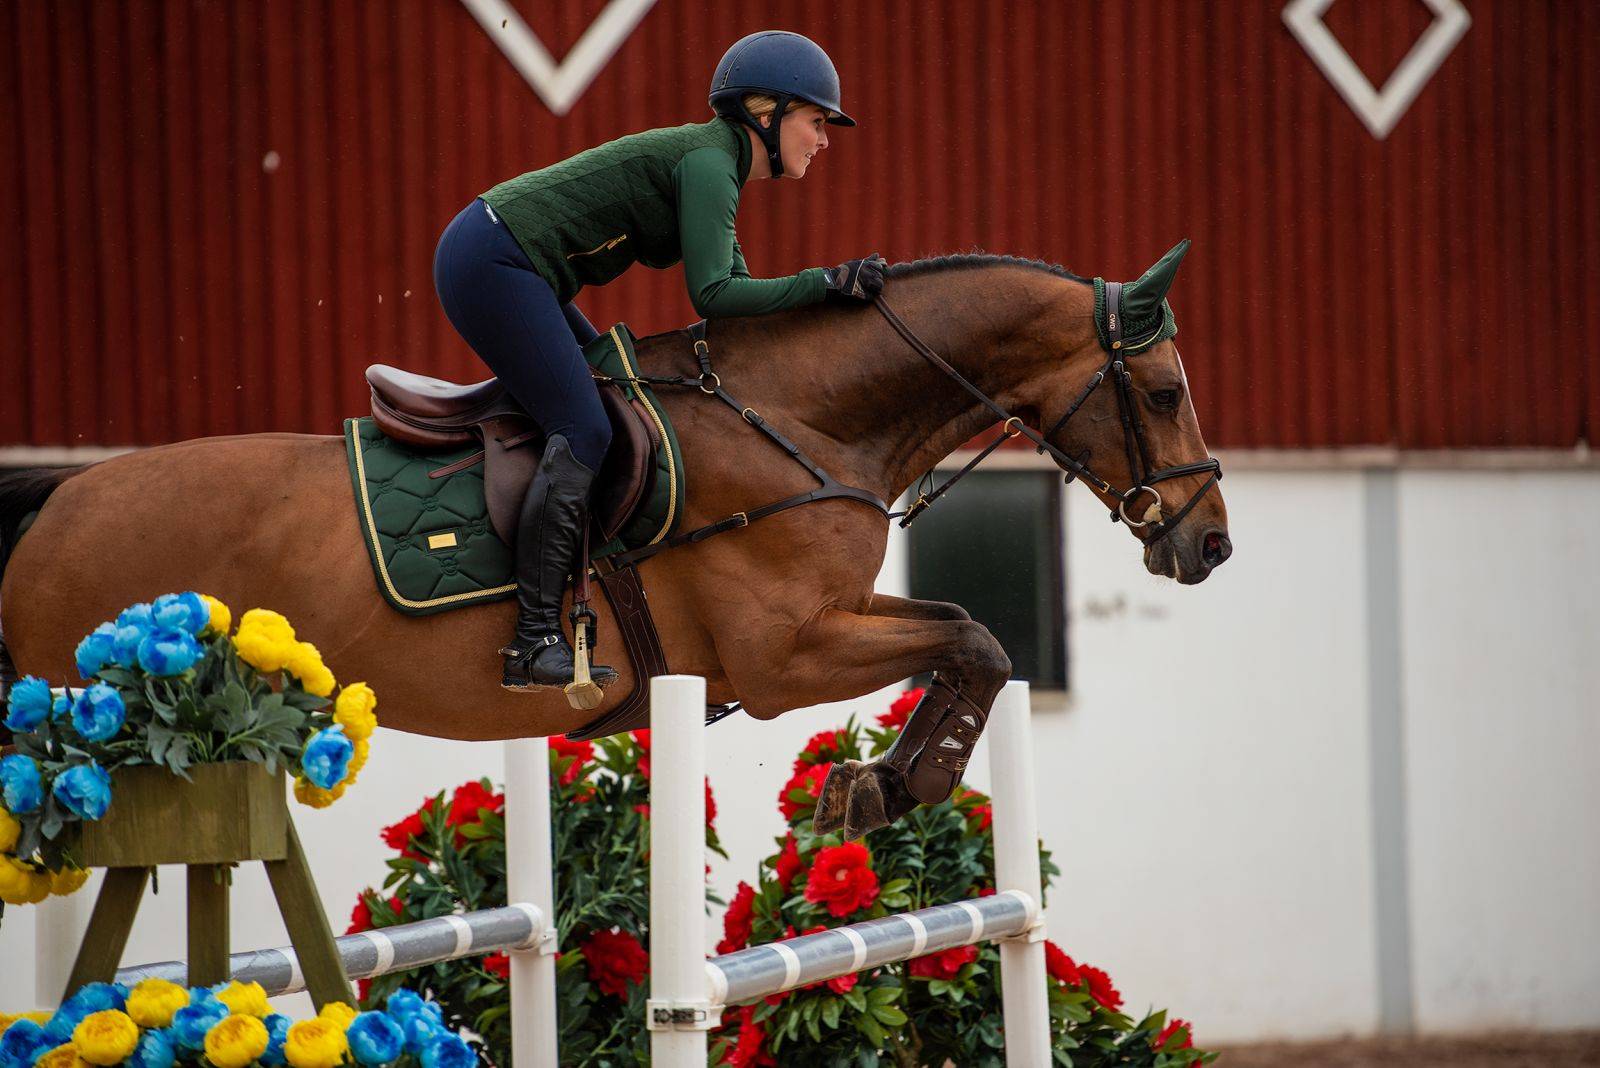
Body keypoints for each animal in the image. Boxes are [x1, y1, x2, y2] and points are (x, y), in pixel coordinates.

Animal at [0, 246, 1228, 837]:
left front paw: (876, 784)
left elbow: (967, 633)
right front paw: (895, 785)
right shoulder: (784, 660)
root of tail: (58, 501)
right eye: (1166, 393)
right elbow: (974, 639)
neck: (802, 420)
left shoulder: (828, 624)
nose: (1211, 547)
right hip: (85, 713)